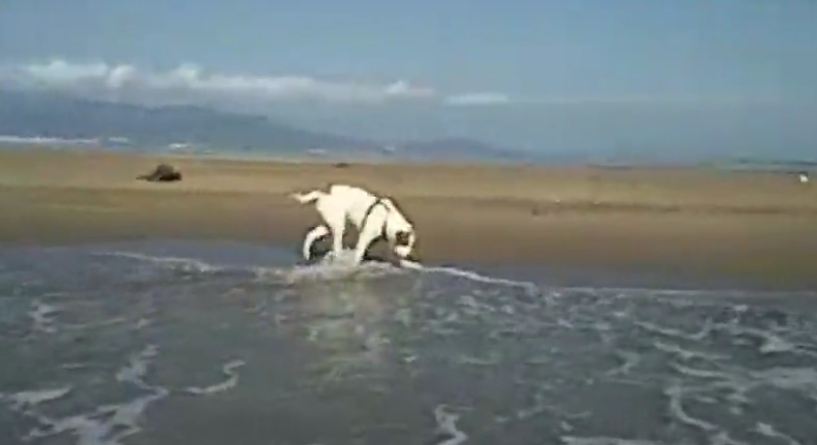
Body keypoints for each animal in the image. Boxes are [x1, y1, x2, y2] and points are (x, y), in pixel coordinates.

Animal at [290, 183, 418, 264]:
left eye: (410, 245)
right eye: (405, 243)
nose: (407, 256)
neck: (387, 218)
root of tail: (323, 195)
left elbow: (364, 251)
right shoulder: (365, 236)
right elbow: (359, 253)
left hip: (331, 222)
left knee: (312, 234)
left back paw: (307, 254)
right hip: (338, 225)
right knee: (336, 245)